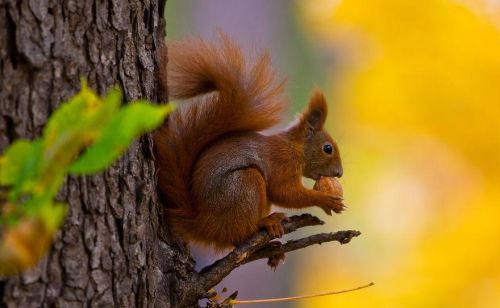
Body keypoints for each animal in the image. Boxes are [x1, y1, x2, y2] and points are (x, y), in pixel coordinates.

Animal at [154, 33, 346, 250]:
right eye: (327, 148)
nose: (339, 173)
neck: (294, 148)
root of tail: (205, 224)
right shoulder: (281, 163)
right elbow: (284, 192)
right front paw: (325, 200)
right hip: (244, 184)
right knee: (240, 232)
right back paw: (265, 222)